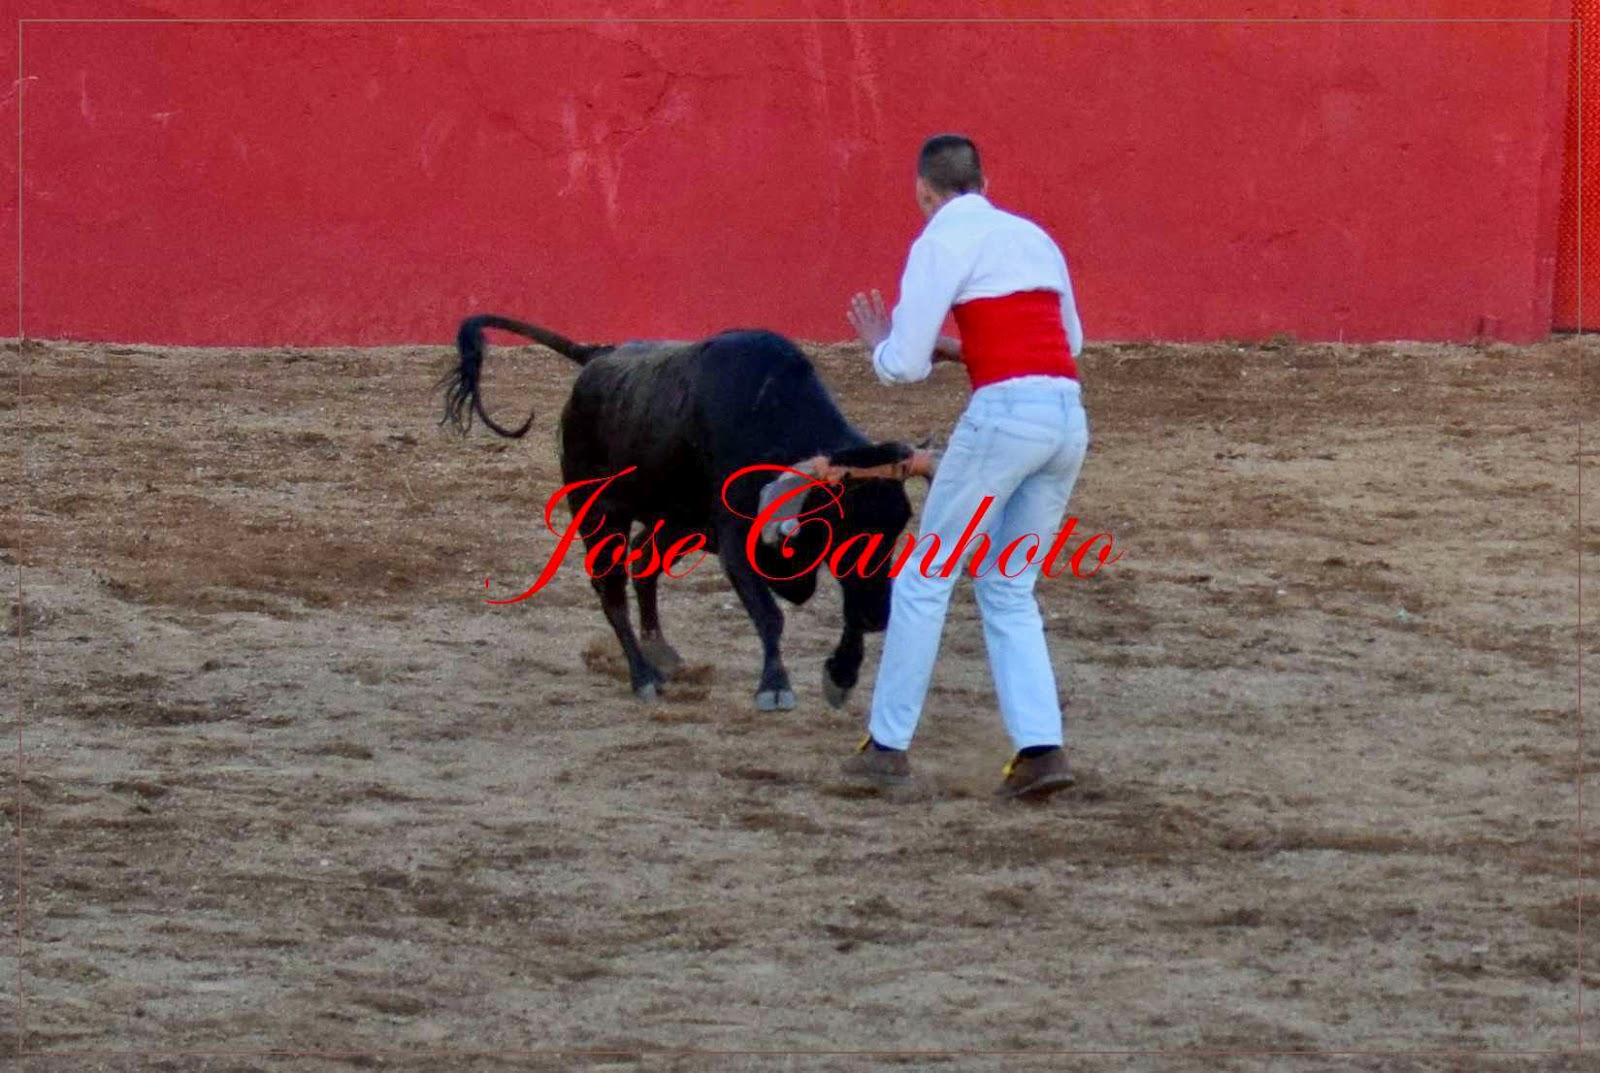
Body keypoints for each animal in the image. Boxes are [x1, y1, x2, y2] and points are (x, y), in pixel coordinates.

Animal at [438, 315, 936, 710]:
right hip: (599, 513)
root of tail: (597, 358)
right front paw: (774, 687)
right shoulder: (736, 542)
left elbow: (849, 604)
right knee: (611, 589)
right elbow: (771, 615)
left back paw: (661, 654)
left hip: (676, 521)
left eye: (898, 526)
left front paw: (841, 675)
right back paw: (643, 676)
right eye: (844, 525)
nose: (882, 615)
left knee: (643, 562)